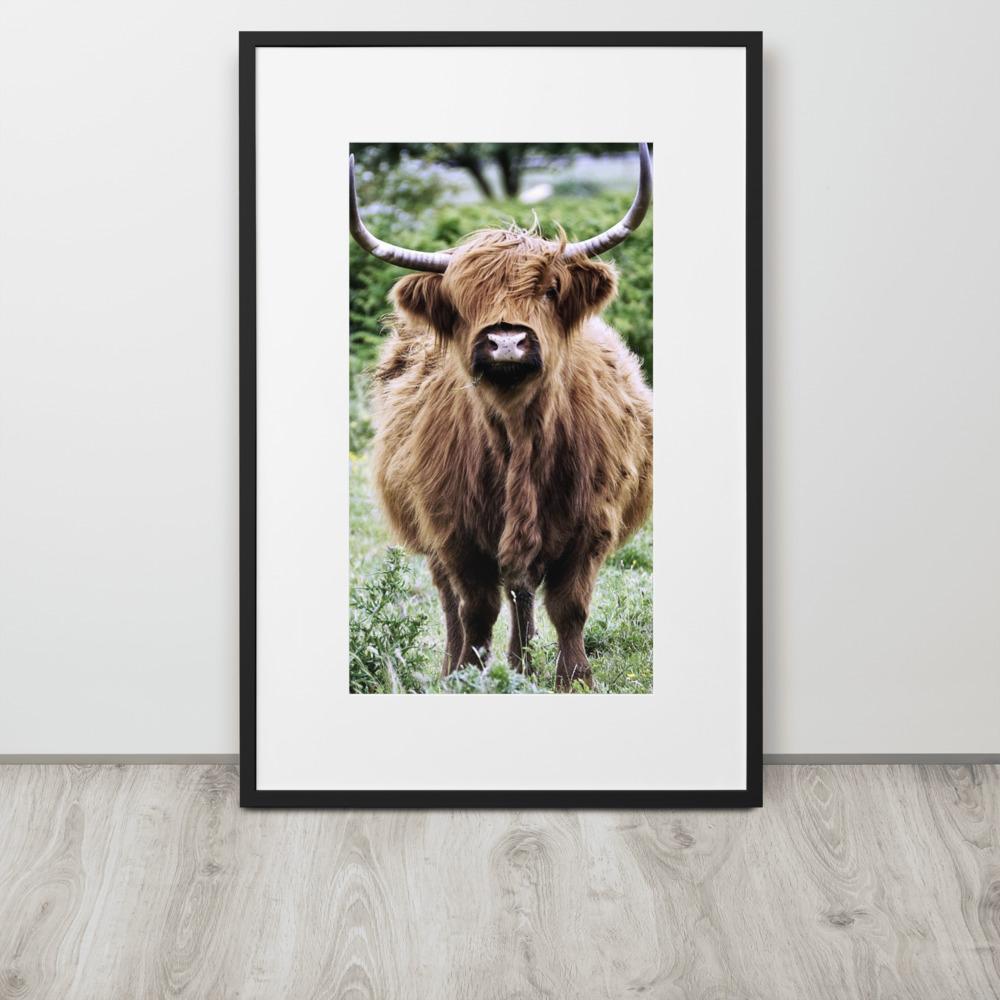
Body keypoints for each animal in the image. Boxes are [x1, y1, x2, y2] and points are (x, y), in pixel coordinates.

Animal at [349, 144, 653, 691]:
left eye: (550, 290)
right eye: (461, 299)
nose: (506, 341)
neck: (519, 435)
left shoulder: (592, 525)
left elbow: (569, 606)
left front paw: (574, 679)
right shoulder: (454, 531)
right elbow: (474, 608)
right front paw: (469, 674)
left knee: (522, 590)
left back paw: (522, 663)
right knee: (456, 600)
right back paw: (461, 667)